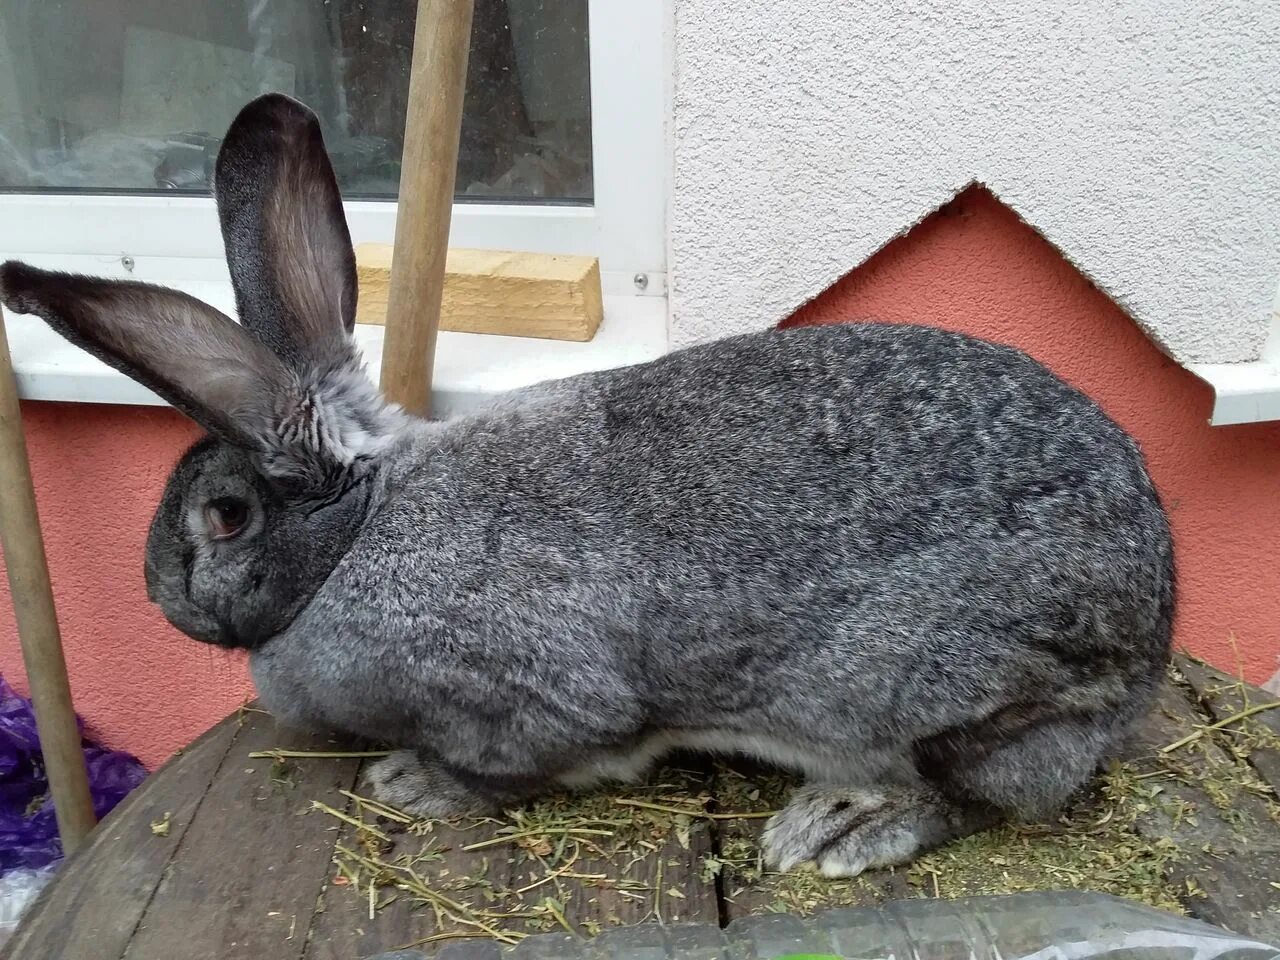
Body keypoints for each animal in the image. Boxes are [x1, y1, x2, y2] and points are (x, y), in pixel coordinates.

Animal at [0, 92, 1172, 880]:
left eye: (226, 514)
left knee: (988, 798)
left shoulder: (527, 704)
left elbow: (519, 763)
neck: (365, 528)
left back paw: (838, 832)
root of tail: (1152, 634)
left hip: (961, 699)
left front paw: (409, 785)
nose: (160, 596)